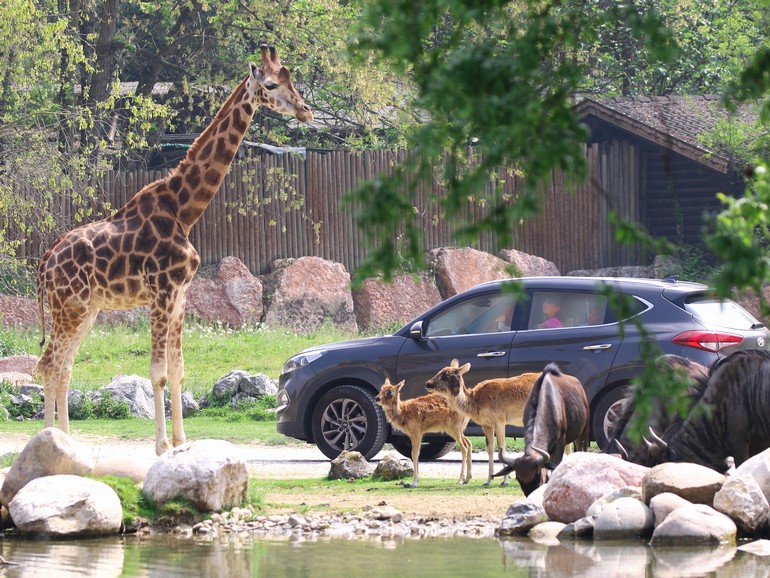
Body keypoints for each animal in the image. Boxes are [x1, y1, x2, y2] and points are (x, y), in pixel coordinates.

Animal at [35, 45, 312, 452]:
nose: (306, 111)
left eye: (291, 79)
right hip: (68, 306)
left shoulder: (180, 294)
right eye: (273, 84)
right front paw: (162, 446)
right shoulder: (161, 292)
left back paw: (66, 442)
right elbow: (158, 373)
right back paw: (48, 440)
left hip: (85, 308)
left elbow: (178, 371)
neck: (184, 210)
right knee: (49, 364)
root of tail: (44, 262)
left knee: (64, 365)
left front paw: (181, 443)